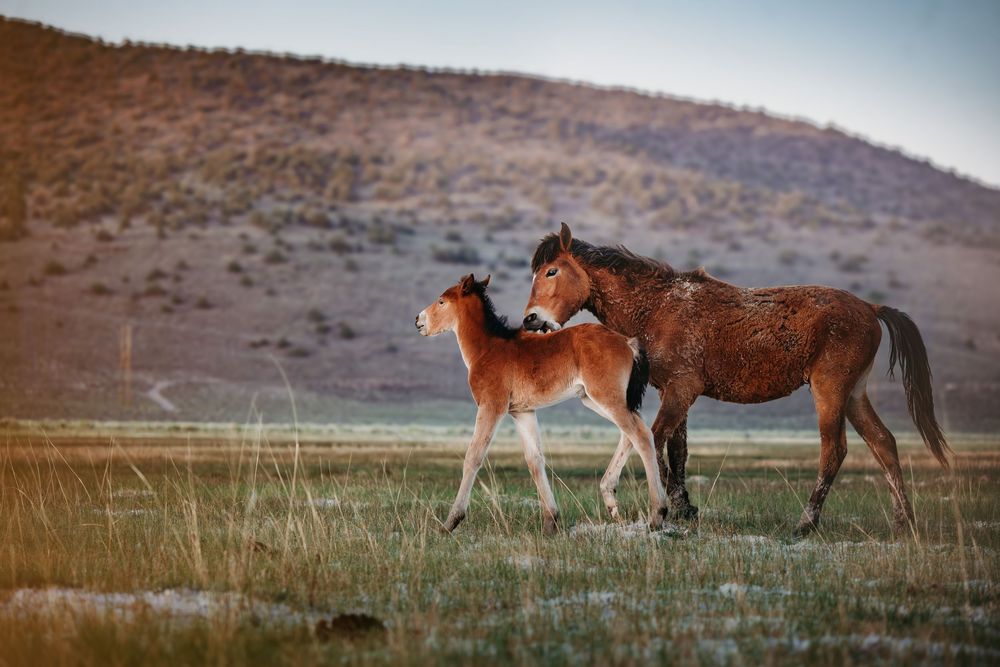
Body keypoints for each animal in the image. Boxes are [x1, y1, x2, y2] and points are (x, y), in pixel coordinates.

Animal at [415, 273, 670, 534]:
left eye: (442, 301)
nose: (418, 320)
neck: (488, 348)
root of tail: (627, 341)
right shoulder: (523, 412)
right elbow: (534, 460)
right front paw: (550, 521)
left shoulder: (492, 405)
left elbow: (473, 456)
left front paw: (450, 522)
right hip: (596, 399)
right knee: (633, 430)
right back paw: (610, 497)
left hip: (606, 397)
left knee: (640, 435)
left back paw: (657, 514)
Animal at [522, 223, 951, 537]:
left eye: (551, 271)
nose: (531, 319)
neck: (658, 308)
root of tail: (870, 307)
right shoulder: (675, 392)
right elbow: (675, 453)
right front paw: (684, 508)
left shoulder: (681, 391)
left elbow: (651, 440)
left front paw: (661, 509)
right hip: (854, 393)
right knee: (884, 443)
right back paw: (903, 523)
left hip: (830, 390)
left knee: (835, 451)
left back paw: (806, 524)